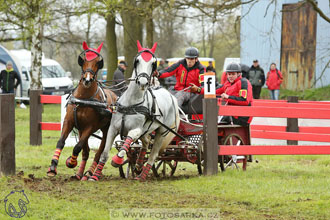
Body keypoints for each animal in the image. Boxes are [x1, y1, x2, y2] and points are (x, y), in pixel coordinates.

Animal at [47, 41, 117, 180]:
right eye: (83, 61)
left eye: (97, 62)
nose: (87, 80)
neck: (84, 100)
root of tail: (115, 95)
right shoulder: (70, 122)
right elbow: (61, 142)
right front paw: (53, 167)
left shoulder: (90, 127)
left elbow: (77, 147)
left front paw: (71, 162)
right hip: (80, 129)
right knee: (86, 151)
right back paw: (80, 174)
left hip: (106, 130)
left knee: (100, 151)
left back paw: (91, 173)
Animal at [89, 40, 179, 181]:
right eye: (137, 61)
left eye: (153, 63)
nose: (142, 82)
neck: (131, 103)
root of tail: (170, 95)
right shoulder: (112, 129)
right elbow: (104, 153)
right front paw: (95, 176)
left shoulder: (137, 130)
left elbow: (126, 144)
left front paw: (117, 160)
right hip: (147, 131)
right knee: (146, 143)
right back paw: (138, 166)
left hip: (161, 132)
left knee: (153, 156)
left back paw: (142, 175)